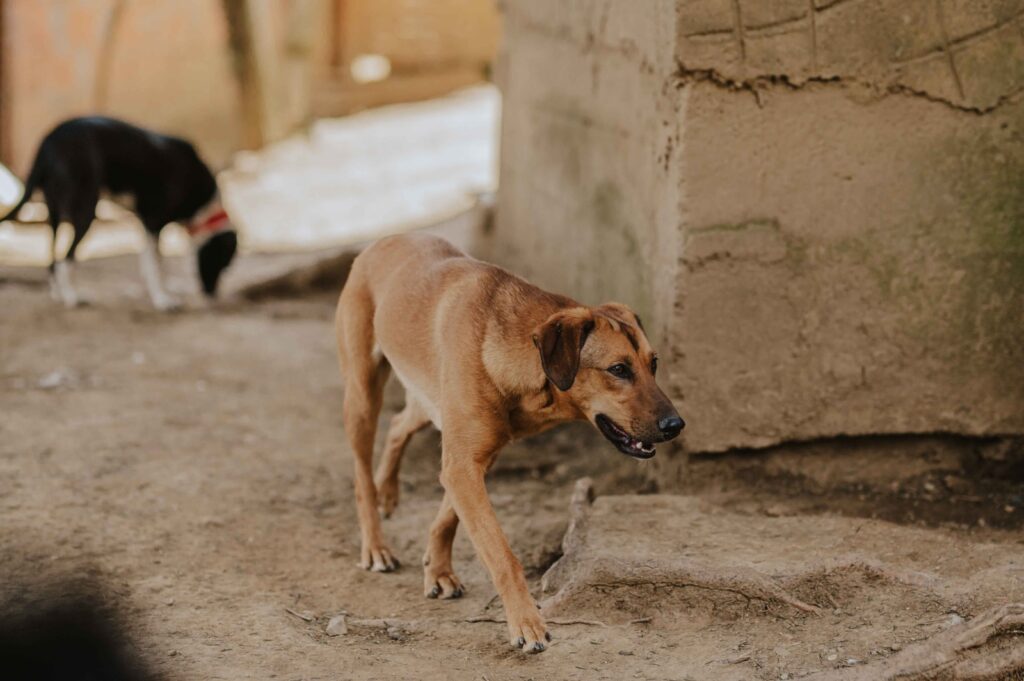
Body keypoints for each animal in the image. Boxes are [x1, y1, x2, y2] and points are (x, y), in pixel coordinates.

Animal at [1, 116, 235, 307]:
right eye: (222, 263)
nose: (212, 296)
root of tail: (48, 141)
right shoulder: (153, 222)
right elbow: (156, 266)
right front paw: (162, 299)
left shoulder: (146, 225)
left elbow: (152, 264)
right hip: (85, 210)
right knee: (66, 257)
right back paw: (72, 297)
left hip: (54, 214)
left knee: (52, 258)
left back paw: (58, 293)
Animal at [335, 235, 684, 655]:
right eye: (618, 369)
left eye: (654, 364)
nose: (675, 425)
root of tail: (385, 240)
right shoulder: (463, 465)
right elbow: (501, 554)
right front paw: (526, 622)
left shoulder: (473, 458)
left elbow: (447, 518)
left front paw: (437, 569)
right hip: (362, 393)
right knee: (360, 474)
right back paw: (375, 543)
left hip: (427, 401)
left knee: (399, 426)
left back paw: (388, 492)